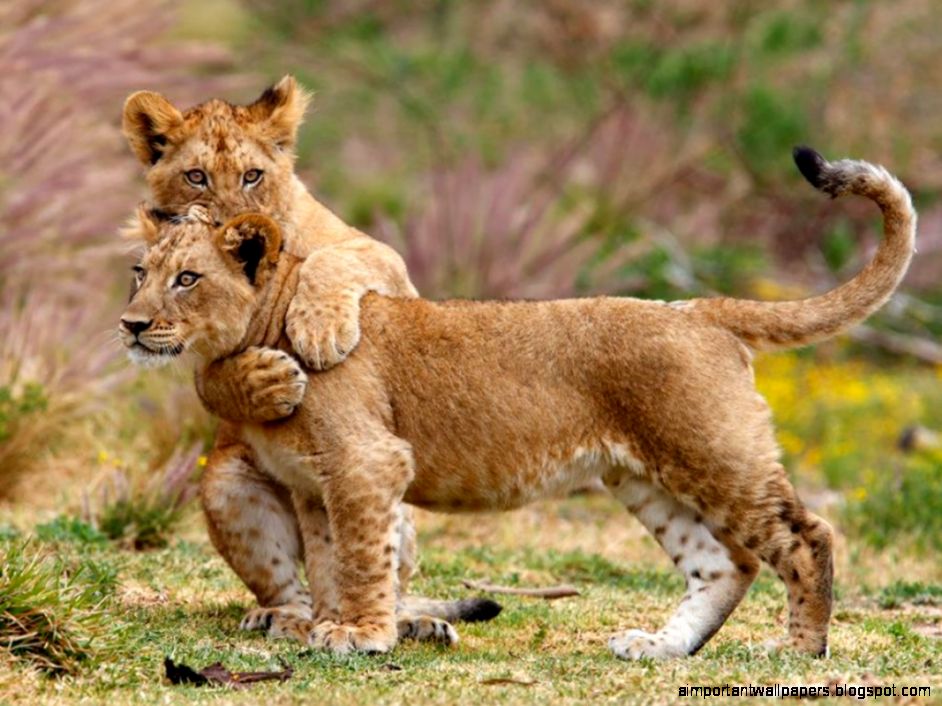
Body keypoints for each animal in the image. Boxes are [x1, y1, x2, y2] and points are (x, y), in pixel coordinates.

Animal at [119, 147, 915, 658]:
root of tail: (699, 308)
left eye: (187, 279)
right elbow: (329, 563)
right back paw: (661, 646)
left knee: (807, 537)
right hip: (646, 475)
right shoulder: (315, 488)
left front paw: (361, 636)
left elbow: (363, 558)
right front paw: (332, 624)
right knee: (726, 564)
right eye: (139, 273)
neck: (260, 328)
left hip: (713, 453)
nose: (130, 323)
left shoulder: (367, 463)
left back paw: (798, 652)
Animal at [121, 76, 499, 639]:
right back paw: (282, 619)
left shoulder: (388, 267)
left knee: (388, 582)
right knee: (289, 585)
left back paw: (417, 624)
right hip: (229, 486)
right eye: (196, 177)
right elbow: (211, 375)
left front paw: (319, 330)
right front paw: (266, 381)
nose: (232, 227)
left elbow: (331, 260)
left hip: (401, 518)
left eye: (253, 176)